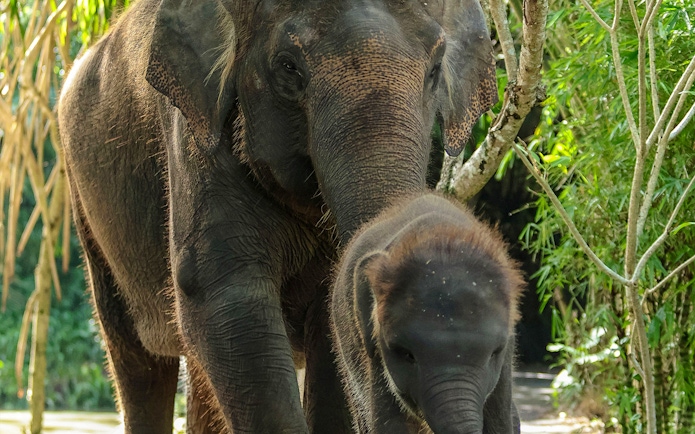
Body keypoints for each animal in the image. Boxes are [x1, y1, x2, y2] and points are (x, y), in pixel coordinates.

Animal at [57, 0, 497, 432]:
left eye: (435, 69)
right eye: (288, 66)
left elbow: (328, 320)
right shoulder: (195, 137)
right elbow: (225, 297)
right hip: (88, 212)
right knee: (138, 362)